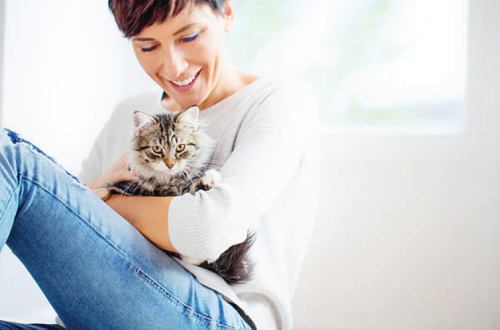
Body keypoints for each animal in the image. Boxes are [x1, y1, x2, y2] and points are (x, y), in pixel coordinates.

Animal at [107, 106, 254, 286]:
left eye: (180, 147)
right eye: (157, 149)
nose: (170, 165)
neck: (170, 182)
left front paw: (210, 179)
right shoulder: (130, 187)